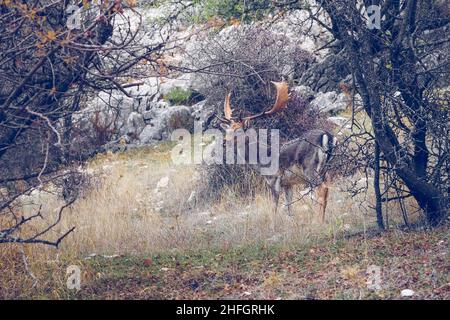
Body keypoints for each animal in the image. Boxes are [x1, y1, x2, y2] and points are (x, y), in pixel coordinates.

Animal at [216, 81, 336, 221]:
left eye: (238, 130)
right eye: (228, 129)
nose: (224, 142)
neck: (261, 161)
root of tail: (327, 135)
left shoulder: (274, 179)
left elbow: (274, 208)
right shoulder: (288, 184)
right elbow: (289, 207)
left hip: (310, 168)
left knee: (321, 190)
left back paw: (318, 220)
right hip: (326, 169)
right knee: (327, 190)